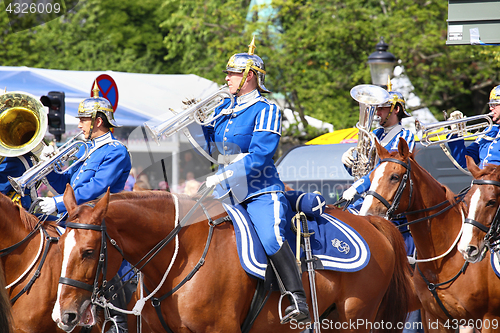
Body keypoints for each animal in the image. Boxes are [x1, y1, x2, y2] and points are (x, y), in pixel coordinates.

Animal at [51, 183, 414, 330]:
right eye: (60, 246)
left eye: (88, 252)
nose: (63, 315)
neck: (180, 255)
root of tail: (371, 221)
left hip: (356, 318)